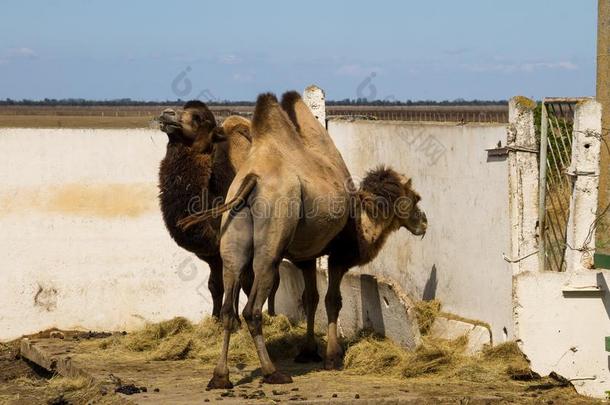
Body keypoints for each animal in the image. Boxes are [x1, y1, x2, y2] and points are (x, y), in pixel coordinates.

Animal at [179, 91, 428, 388]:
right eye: (415, 197)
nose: (423, 222)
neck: (362, 221)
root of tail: (252, 178)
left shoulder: (307, 257)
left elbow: (310, 298)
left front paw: (308, 352)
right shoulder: (338, 255)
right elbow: (332, 300)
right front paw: (332, 357)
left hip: (232, 236)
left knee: (230, 304)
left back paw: (220, 377)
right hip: (272, 238)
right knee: (252, 308)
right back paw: (272, 372)